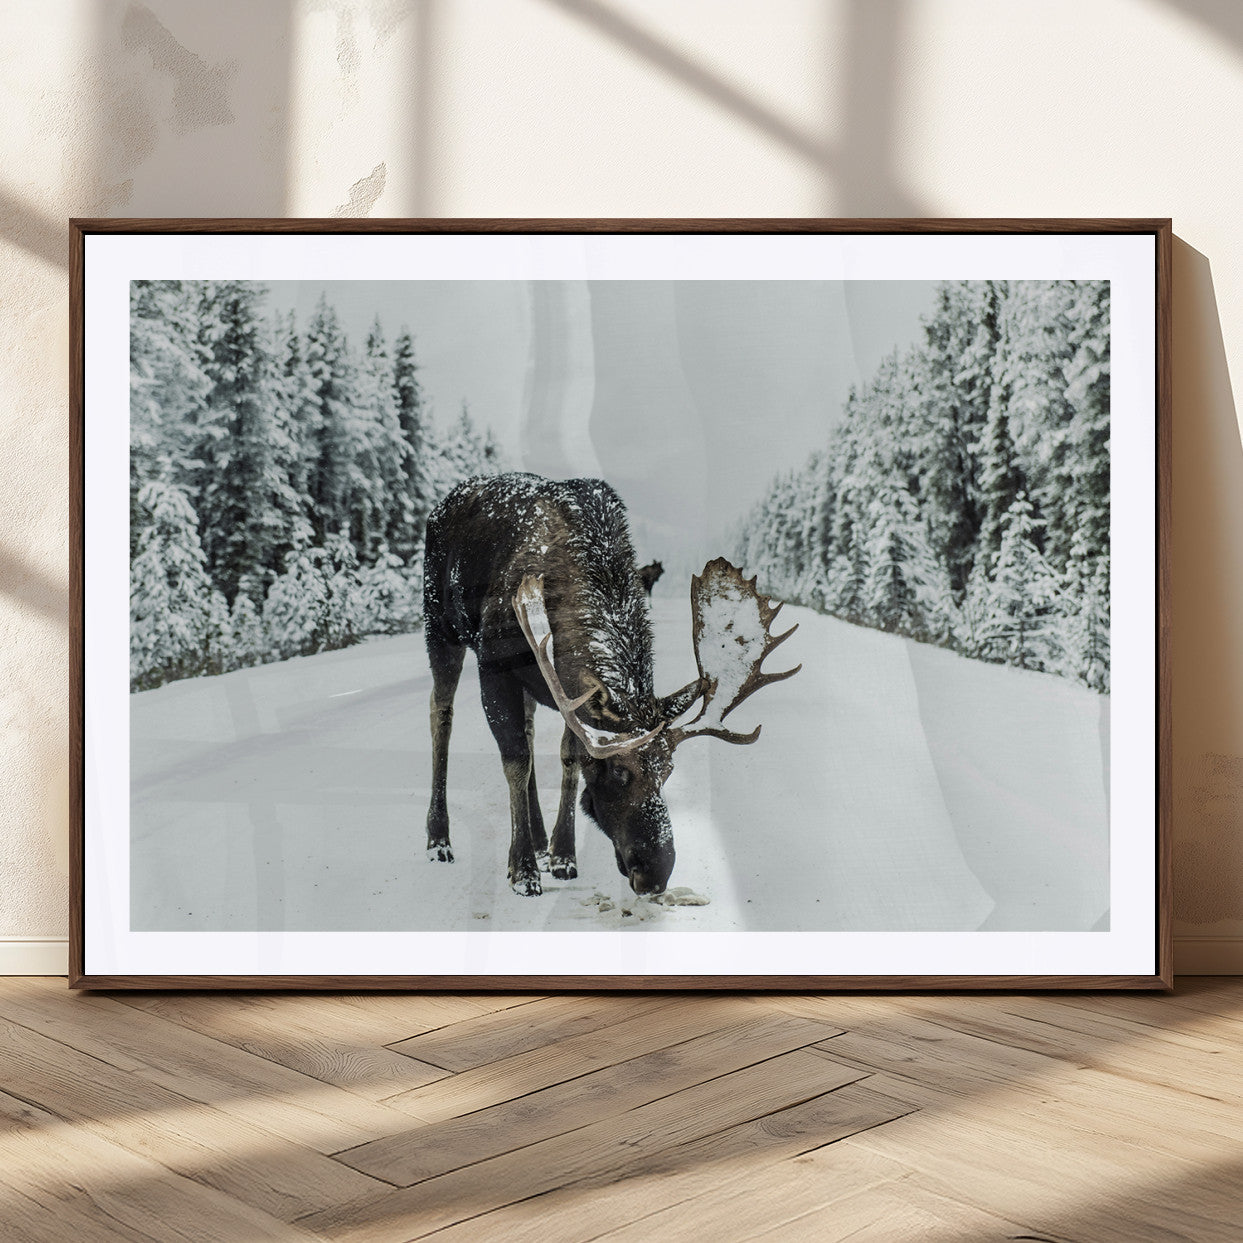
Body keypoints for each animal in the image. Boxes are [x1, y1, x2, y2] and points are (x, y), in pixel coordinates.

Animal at [422, 473, 800, 897]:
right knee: (442, 715)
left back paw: (538, 839)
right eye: (620, 772)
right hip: (440, 626)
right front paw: (522, 871)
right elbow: (515, 761)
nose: (655, 874)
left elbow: (568, 758)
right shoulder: (494, 665)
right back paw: (439, 840)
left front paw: (562, 855)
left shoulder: (568, 693)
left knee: (530, 729)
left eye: (668, 770)